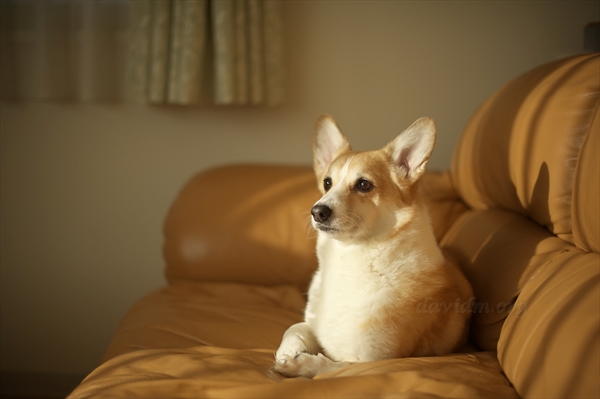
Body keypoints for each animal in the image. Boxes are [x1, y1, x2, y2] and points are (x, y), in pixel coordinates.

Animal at [272, 115, 474, 378]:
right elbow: (296, 328)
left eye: (364, 185)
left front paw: (298, 365)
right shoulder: (312, 325)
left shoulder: (370, 360)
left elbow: (330, 365)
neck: (348, 257)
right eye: (327, 183)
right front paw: (286, 352)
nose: (317, 211)